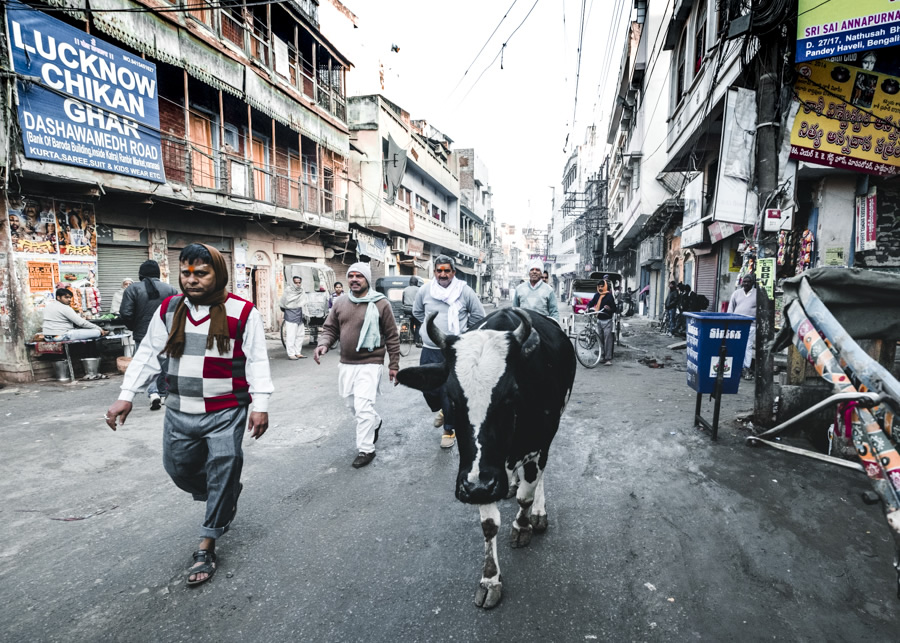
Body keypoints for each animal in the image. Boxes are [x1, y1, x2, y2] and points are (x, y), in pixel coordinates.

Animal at [396, 306, 576, 608]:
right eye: (451, 397)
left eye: (510, 395)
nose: (479, 488)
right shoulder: (477, 473)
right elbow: (489, 524)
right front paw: (490, 579)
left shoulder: (535, 445)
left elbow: (526, 496)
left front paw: (523, 525)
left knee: (540, 474)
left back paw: (538, 511)